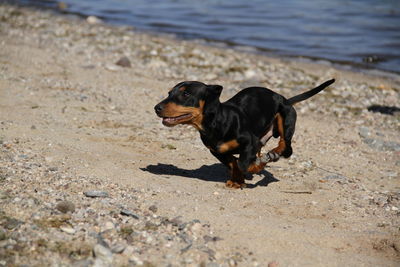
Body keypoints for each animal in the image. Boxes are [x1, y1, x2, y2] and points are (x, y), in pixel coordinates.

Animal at [155, 79, 336, 188]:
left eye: (186, 94)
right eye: (169, 93)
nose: (156, 108)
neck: (218, 122)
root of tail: (284, 99)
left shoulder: (251, 142)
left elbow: (243, 163)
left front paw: (256, 166)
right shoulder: (217, 151)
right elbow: (233, 163)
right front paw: (238, 181)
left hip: (285, 119)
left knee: (286, 147)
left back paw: (272, 155)